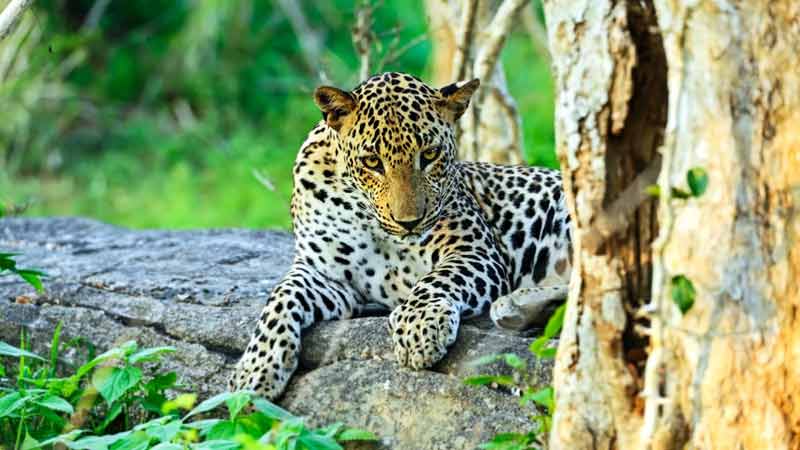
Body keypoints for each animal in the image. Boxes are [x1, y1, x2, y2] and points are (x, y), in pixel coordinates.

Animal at [228, 72, 572, 400]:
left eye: (430, 155)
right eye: (372, 162)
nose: (409, 222)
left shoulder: (475, 250)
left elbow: (438, 278)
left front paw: (419, 327)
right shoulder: (324, 273)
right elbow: (280, 298)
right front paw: (253, 370)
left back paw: (513, 305)